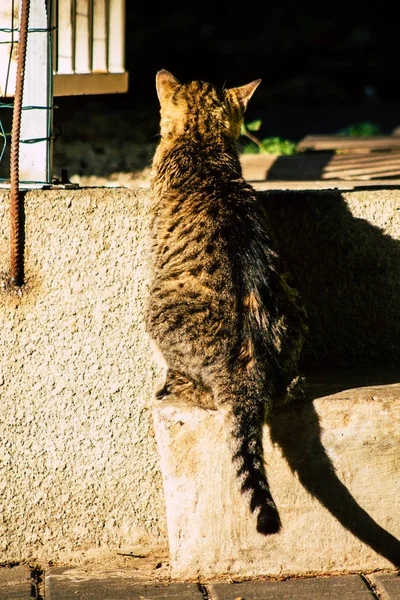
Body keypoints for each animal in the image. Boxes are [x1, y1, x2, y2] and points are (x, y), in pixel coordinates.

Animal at [147, 70, 306, 536]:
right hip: (294, 306)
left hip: (155, 314)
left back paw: (174, 384)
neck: (200, 142)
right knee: (290, 387)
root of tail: (246, 368)